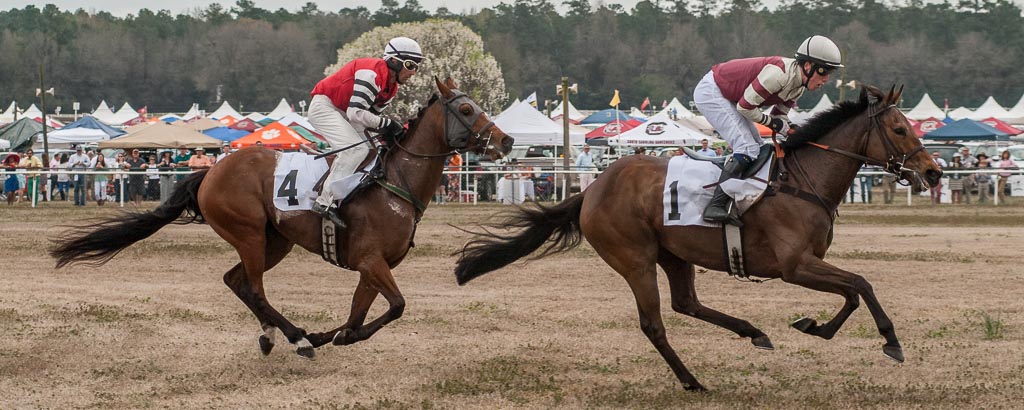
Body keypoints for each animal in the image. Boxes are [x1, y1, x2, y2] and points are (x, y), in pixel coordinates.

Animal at [49, 76, 512, 358]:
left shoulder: (371, 268)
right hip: (250, 233)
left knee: (236, 281)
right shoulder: (371, 261)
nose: (506, 141)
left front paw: (336, 334)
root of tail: (210, 171)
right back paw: (296, 337)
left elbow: (359, 315)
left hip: (276, 240)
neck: (394, 182)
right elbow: (396, 306)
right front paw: (325, 336)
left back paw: (276, 334)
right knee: (253, 289)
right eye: (466, 110)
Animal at [456, 85, 942, 391]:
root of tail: (591, 190)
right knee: (655, 323)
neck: (803, 182)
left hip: (675, 254)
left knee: (686, 303)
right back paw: (692, 380)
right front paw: (891, 341)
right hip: (635, 258)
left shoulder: (807, 265)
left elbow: (853, 292)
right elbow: (861, 284)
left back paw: (752, 332)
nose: (934, 171)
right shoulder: (795, 266)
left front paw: (815, 327)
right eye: (899, 129)